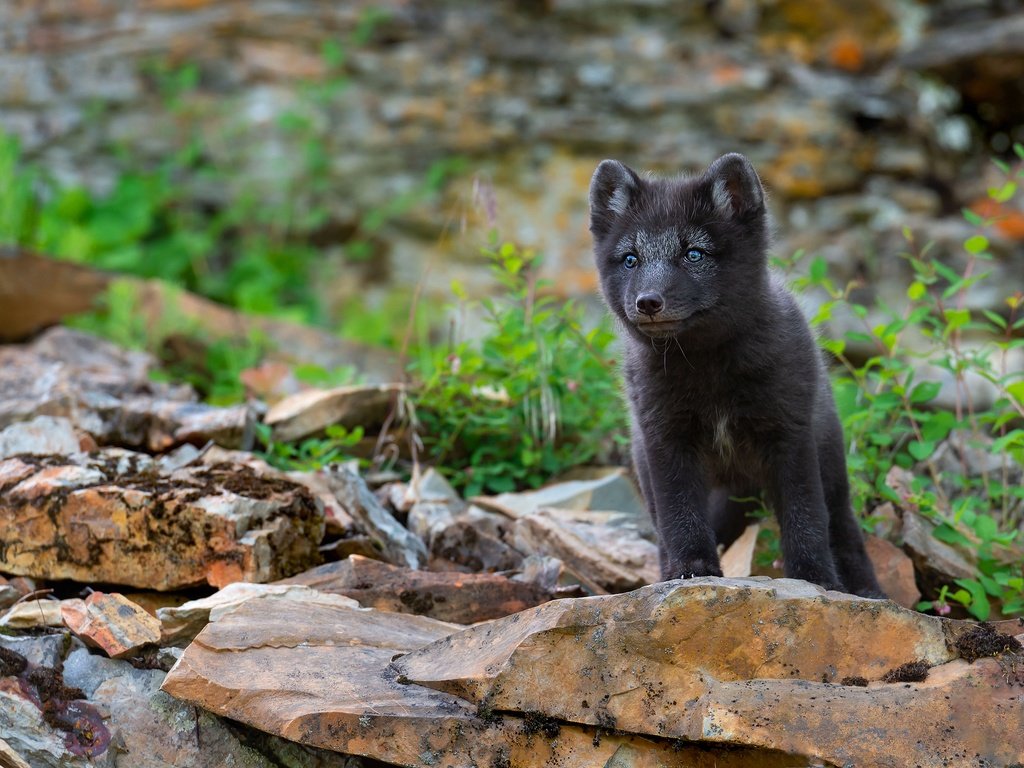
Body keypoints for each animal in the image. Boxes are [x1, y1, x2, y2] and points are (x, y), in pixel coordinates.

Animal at [589, 153, 884, 598]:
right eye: (630, 259)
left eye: (694, 254)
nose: (648, 302)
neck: (708, 370)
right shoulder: (665, 440)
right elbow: (681, 519)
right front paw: (690, 573)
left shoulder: (789, 434)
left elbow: (806, 518)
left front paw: (816, 580)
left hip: (831, 464)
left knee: (843, 529)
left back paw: (867, 592)